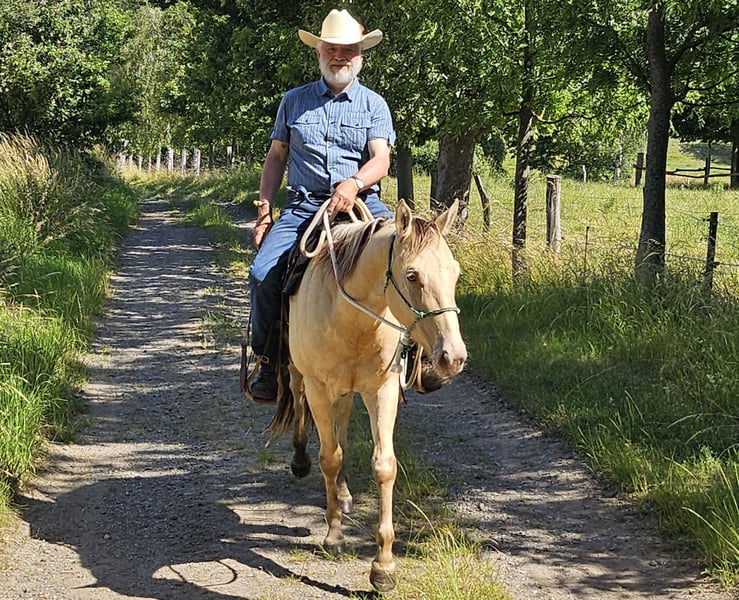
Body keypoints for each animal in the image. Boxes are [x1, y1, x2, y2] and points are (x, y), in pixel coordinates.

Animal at [269, 199, 467, 592]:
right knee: (299, 400)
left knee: (342, 424)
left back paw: (344, 494)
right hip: (301, 373)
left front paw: (383, 567)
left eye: (454, 273)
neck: (353, 318)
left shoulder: (382, 390)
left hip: (348, 390)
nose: (453, 358)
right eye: (412, 276)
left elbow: (383, 465)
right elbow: (329, 457)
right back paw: (301, 460)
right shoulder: (319, 387)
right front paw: (334, 536)